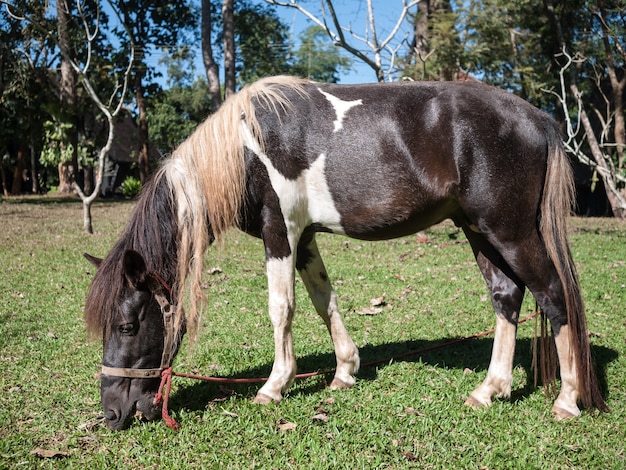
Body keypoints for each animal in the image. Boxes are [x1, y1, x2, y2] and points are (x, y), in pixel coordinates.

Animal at [84, 76, 604, 430]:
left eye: (127, 325)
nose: (111, 413)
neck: (247, 149)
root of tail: (538, 118)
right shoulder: (305, 237)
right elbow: (323, 300)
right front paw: (344, 372)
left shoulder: (280, 232)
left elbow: (282, 308)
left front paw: (275, 385)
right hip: (479, 231)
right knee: (506, 297)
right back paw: (489, 390)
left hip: (510, 232)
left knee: (553, 296)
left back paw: (567, 400)